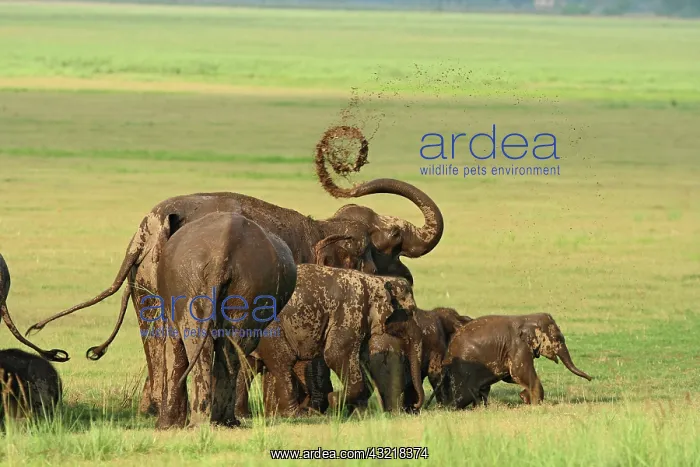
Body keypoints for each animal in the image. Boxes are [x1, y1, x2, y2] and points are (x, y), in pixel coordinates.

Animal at [148, 212, 298, 429]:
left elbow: (174, 346)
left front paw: (165, 426)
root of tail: (222, 253)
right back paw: (219, 421)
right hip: (245, 284)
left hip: (221, 284)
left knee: (207, 345)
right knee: (231, 346)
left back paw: (205, 422)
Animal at [235, 264, 424, 418]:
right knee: (283, 362)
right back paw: (294, 414)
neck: (376, 280)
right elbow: (335, 355)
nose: (415, 406)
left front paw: (359, 415)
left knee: (248, 366)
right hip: (270, 328)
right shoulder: (350, 313)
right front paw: (334, 400)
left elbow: (362, 360)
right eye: (410, 310)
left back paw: (245, 415)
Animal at [440, 313, 593, 409]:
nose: (591, 378)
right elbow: (519, 372)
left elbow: (510, 376)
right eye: (557, 338)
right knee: (465, 395)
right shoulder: (518, 346)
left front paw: (525, 397)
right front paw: (535, 404)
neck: (527, 317)